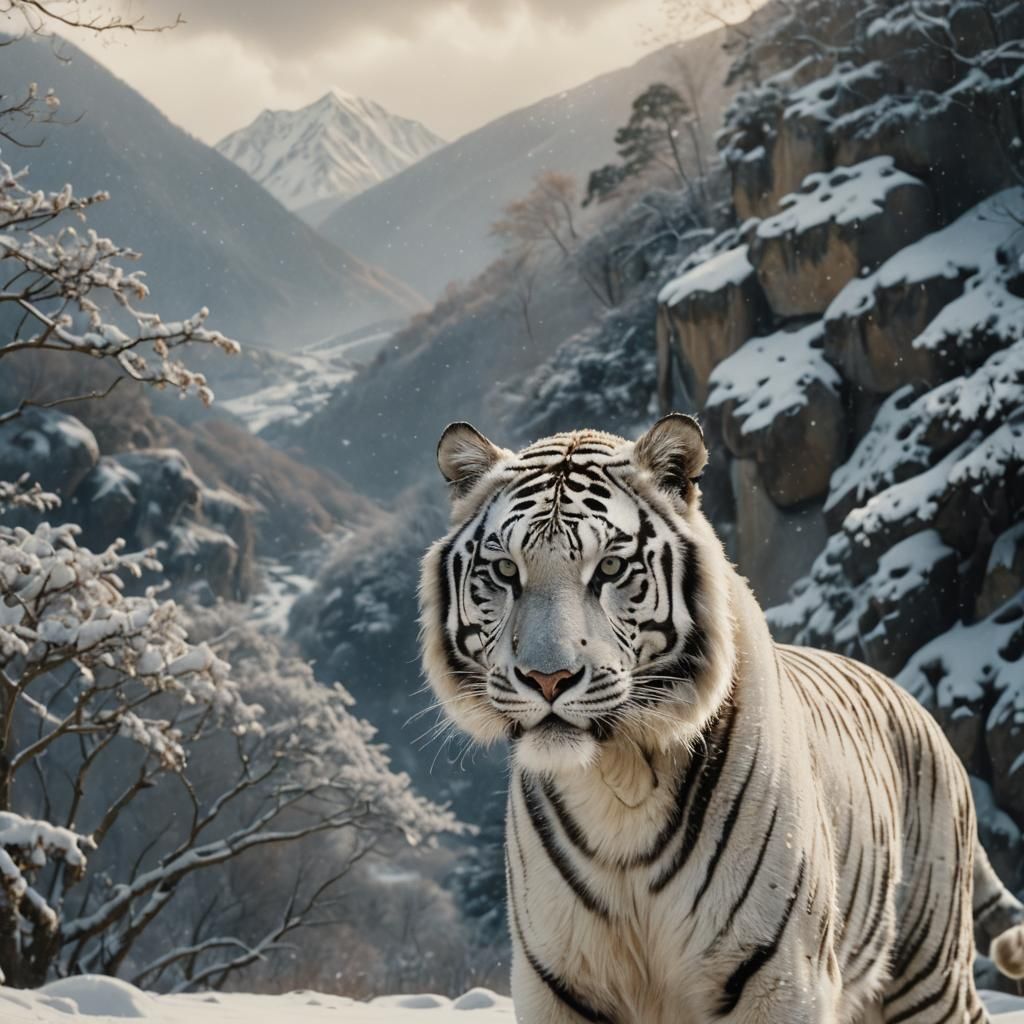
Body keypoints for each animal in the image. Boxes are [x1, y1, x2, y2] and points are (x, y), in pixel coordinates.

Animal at [418, 413, 1024, 1024]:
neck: (618, 784)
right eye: (504, 570)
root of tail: (917, 707)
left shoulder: (781, 976)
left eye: (609, 567)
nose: (547, 679)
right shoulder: (558, 982)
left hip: (927, 973)